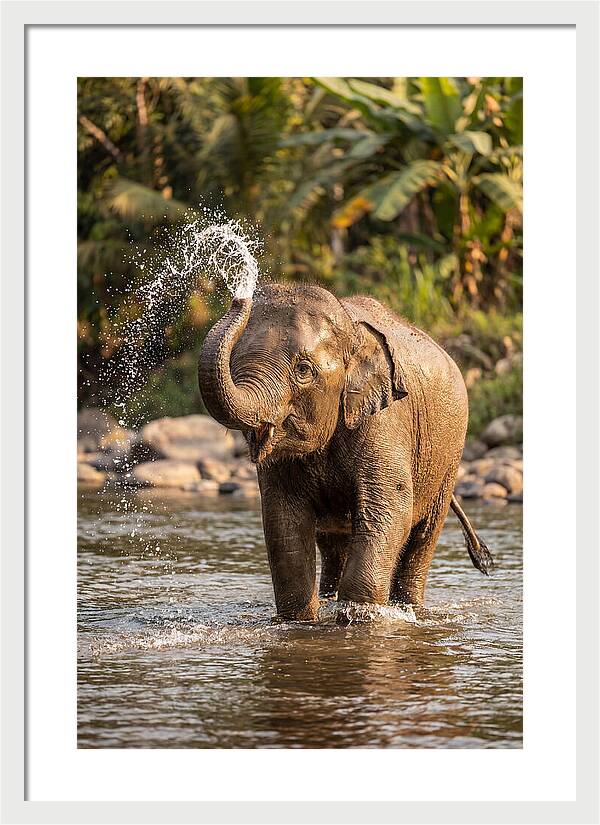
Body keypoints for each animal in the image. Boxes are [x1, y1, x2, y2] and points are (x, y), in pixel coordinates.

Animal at [198, 282, 493, 621]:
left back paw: (409, 608)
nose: (239, 296)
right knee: (332, 542)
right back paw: (330, 598)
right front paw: (302, 620)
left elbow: (390, 508)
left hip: (449, 458)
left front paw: (359, 617)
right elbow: (283, 520)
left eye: (303, 370)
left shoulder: (385, 421)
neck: (352, 331)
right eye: (234, 362)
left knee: (423, 536)